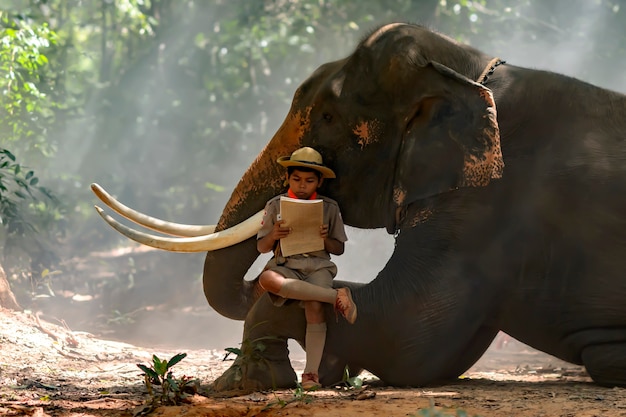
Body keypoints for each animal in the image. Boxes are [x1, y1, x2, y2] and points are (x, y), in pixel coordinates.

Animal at [91, 23, 624, 390]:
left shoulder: (487, 201)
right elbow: (436, 355)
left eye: (328, 116)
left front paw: (249, 382)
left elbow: (407, 337)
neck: (470, 68)